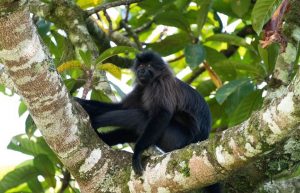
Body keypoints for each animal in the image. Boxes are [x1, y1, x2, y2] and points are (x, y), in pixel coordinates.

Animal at [76, 50, 221, 192]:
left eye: (149, 65)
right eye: (141, 66)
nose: (142, 71)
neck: (150, 82)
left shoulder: (161, 84)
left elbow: (162, 114)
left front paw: (137, 153)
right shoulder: (141, 88)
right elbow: (120, 107)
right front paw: (81, 102)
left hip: (177, 139)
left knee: (141, 116)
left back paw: (95, 123)